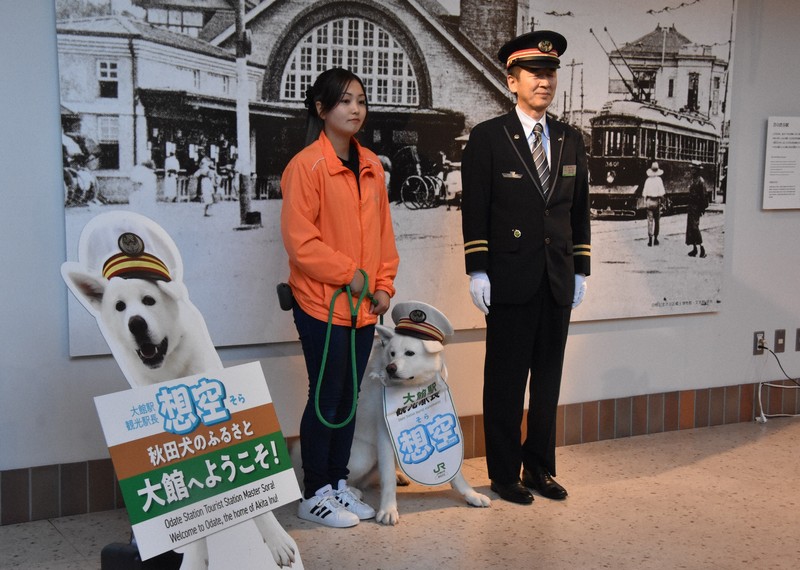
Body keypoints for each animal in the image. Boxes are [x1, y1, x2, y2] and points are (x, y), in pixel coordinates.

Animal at [62, 212, 300, 568]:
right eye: (119, 307)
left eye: (149, 300)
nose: (136, 323)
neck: (172, 376)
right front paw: (195, 556)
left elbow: (254, 495)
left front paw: (276, 540)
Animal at [346, 302, 490, 524]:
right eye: (392, 353)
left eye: (410, 353)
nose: (390, 368)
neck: (414, 390)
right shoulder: (385, 435)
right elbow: (387, 479)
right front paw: (388, 509)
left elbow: (456, 474)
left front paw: (471, 495)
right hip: (364, 456)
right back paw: (351, 491)